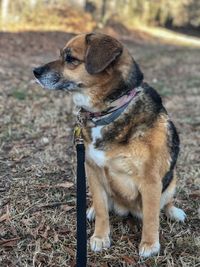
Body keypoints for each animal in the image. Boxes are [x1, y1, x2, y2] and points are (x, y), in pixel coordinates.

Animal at [33, 32, 186, 258]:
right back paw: (91, 210)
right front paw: (100, 236)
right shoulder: (93, 171)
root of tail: (127, 209)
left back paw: (174, 212)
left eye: (70, 58)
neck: (109, 111)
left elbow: (151, 217)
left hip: (172, 178)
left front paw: (150, 244)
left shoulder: (150, 181)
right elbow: (102, 209)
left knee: (165, 202)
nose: (35, 71)